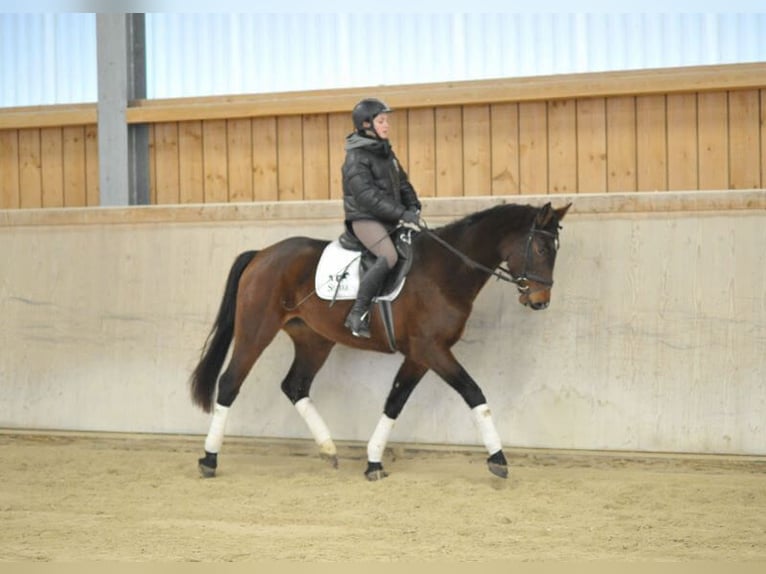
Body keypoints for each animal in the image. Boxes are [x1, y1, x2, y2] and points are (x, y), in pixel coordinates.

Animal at [192, 202, 572, 482]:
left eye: (555, 249)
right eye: (540, 247)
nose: (540, 300)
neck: (446, 270)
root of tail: (262, 254)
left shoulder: (419, 355)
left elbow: (395, 402)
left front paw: (373, 462)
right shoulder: (433, 350)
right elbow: (474, 393)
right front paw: (498, 459)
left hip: (314, 341)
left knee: (295, 385)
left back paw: (329, 450)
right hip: (257, 331)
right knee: (230, 383)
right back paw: (209, 459)